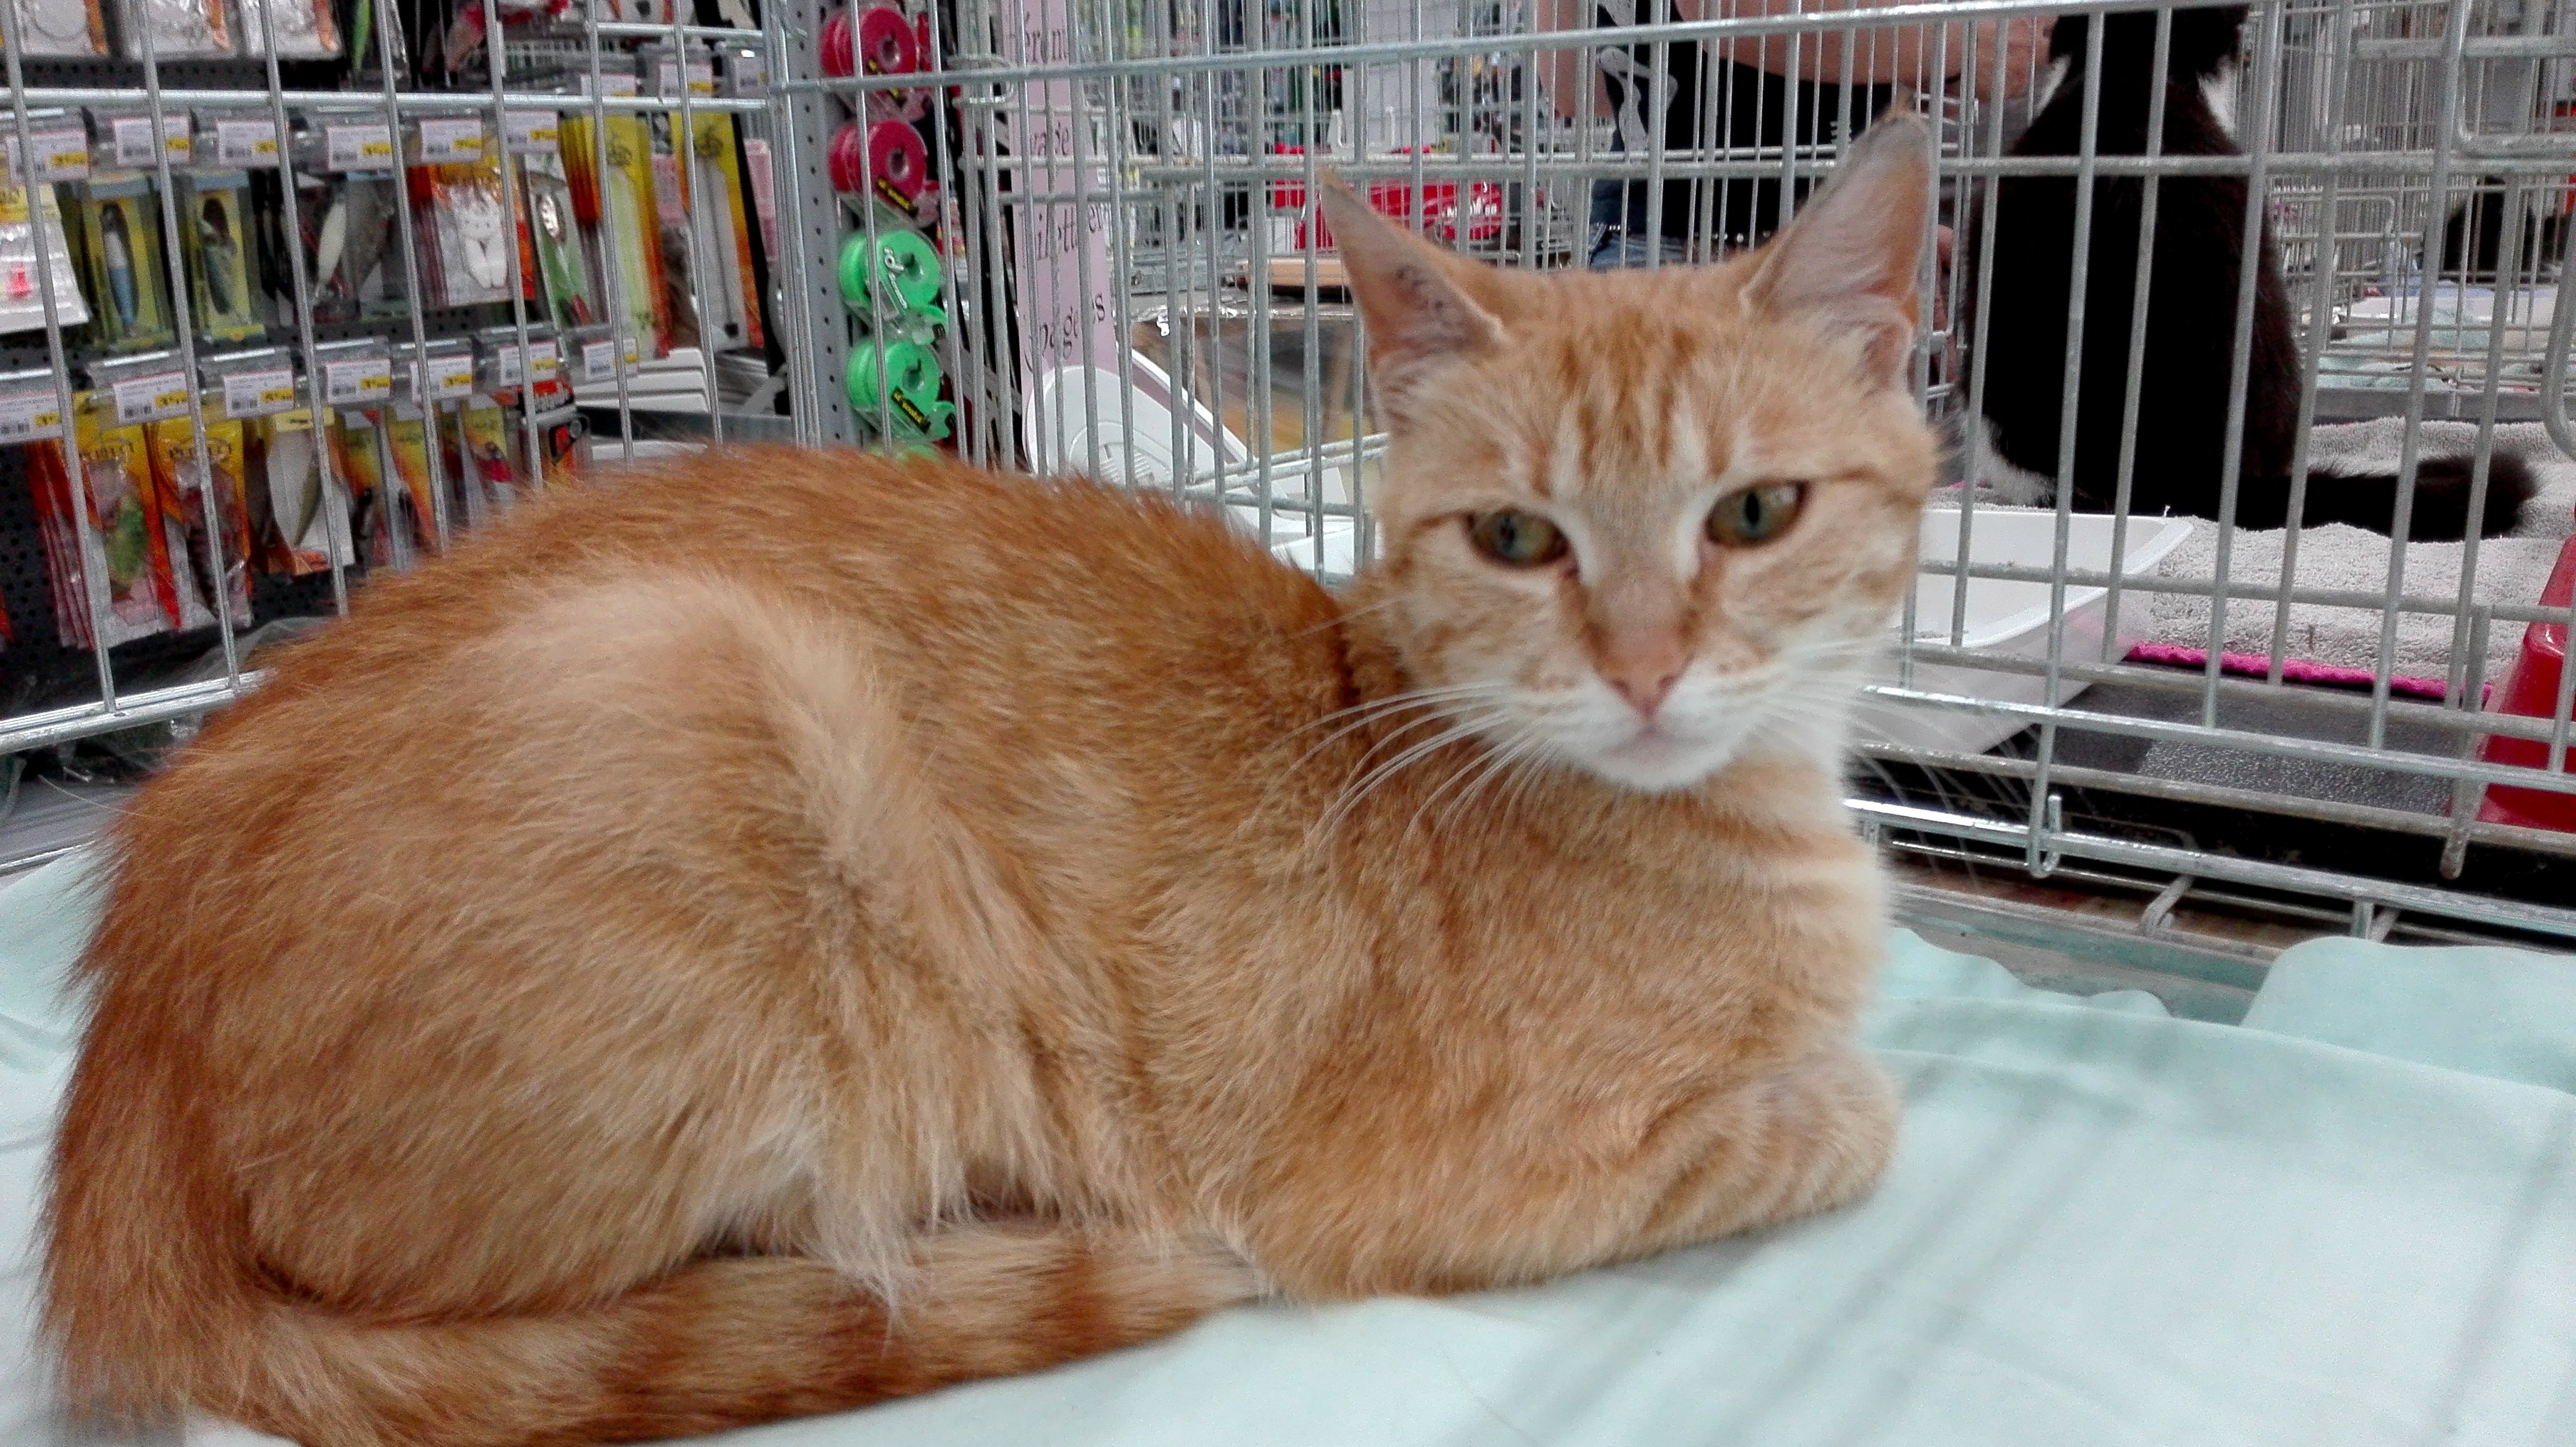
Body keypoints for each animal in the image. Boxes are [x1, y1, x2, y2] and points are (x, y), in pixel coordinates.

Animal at [45, 114, 1939, 1447]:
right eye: (1519, 539)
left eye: (1754, 513)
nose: (1644, 668)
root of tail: (127, 1032)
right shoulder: (1440, 1186)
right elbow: (1850, 1115)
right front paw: (1838, 1096)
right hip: (709, 694)